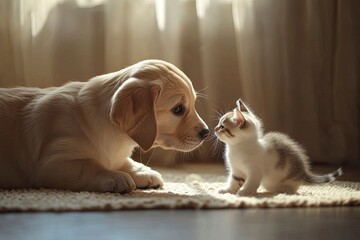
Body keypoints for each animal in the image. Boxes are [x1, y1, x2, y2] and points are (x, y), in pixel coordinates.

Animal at [0, 60, 208, 193]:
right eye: (178, 109)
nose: (206, 133)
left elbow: (123, 161)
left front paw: (141, 172)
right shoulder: (52, 163)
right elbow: (90, 165)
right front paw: (114, 176)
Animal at [214, 99, 344, 195]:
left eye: (222, 127)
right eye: (219, 124)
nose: (214, 129)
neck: (237, 147)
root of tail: (304, 172)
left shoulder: (255, 170)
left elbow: (251, 182)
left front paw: (245, 191)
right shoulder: (236, 170)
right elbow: (234, 181)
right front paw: (227, 190)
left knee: (291, 188)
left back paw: (283, 190)